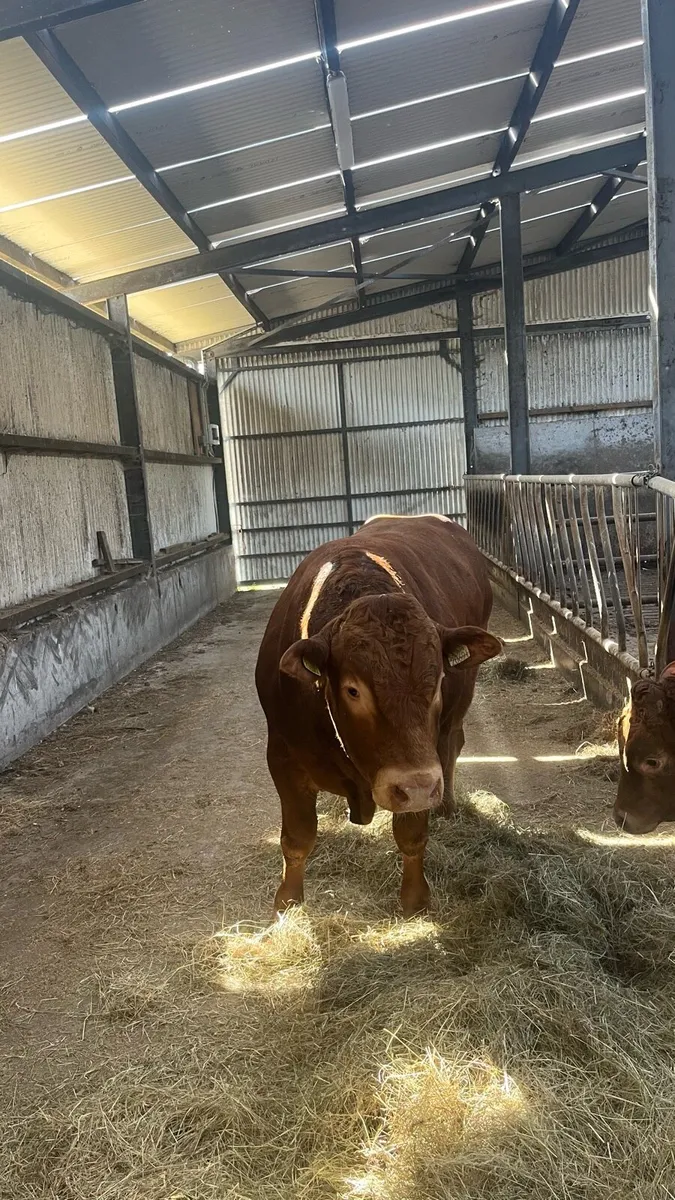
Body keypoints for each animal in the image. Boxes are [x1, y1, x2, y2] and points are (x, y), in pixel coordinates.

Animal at [255, 515, 501, 917]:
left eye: (438, 681)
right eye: (353, 690)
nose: (417, 789)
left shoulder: (422, 764)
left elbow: (412, 835)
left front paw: (415, 900)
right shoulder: (282, 755)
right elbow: (298, 837)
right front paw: (288, 902)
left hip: (454, 717)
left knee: (453, 743)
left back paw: (448, 805)